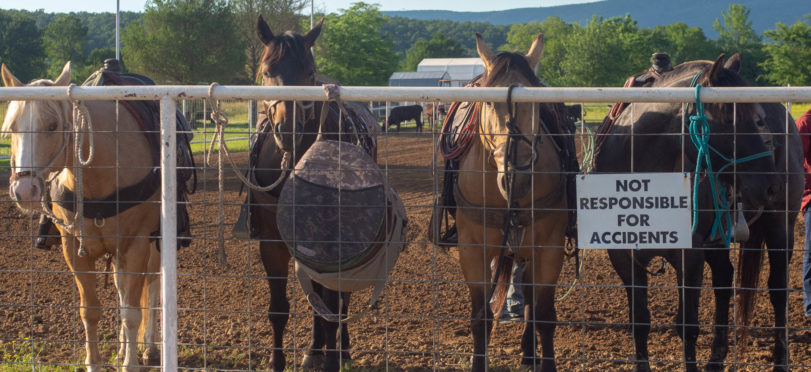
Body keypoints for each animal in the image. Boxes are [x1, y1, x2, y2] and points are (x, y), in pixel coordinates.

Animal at [1, 62, 195, 370]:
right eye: (12, 128)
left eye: (53, 125)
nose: (23, 190)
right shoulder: (74, 249)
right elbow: (90, 310)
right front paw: (96, 362)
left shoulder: (136, 244)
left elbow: (132, 312)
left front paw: (131, 364)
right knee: (121, 287)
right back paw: (122, 348)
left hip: (155, 243)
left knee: (152, 286)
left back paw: (150, 348)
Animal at [244, 16, 380, 370]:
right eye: (267, 70)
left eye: (309, 72)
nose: (287, 129)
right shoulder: (272, 241)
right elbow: (279, 308)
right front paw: (278, 361)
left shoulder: (335, 242)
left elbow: (333, 304)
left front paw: (334, 358)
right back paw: (314, 349)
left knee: (339, 300)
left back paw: (339, 350)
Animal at [450, 33, 576, 370]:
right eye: (489, 101)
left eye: (536, 104)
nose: (516, 177)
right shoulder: (472, 250)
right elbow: (481, 318)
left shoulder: (548, 249)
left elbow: (544, 315)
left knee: (531, 297)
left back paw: (529, 351)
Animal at [592, 53, 796, 370]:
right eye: (731, 119)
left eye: (759, 118)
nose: (772, 186)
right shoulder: (623, 256)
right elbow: (640, 322)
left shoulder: (689, 255)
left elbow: (687, 325)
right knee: (724, 279)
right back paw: (716, 357)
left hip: (780, 226)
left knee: (778, 290)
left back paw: (780, 359)